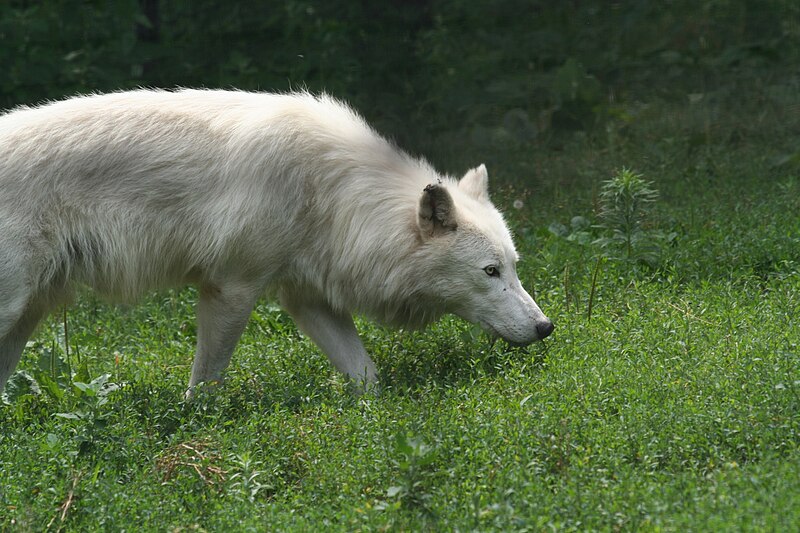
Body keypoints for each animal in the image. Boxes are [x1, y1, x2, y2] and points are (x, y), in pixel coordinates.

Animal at [0, 88, 552, 394]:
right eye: (489, 272)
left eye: (514, 266)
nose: (546, 327)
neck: (329, 194)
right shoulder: (232, 288)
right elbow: (207, 381)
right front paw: (195, 428)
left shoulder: (306, 298)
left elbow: (367, 376)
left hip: (26, 317)